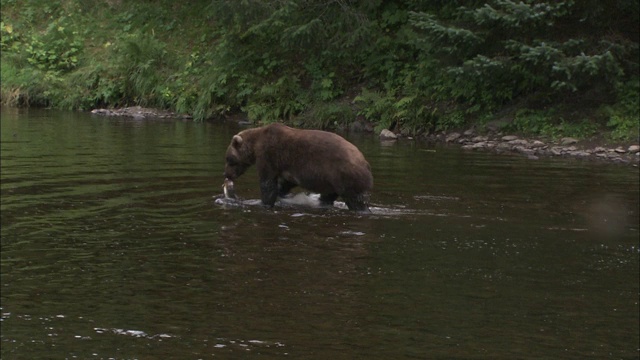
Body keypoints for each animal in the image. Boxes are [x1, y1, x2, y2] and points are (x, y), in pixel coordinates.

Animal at [225, 123, 376, 211]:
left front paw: (264, 202)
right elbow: (285, 182)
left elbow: (267, 182)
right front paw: (281, 192)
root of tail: (366, 164)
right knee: (329, 194)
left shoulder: (269, 156)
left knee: (356, 200)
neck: (255, 144)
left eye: (229, 159)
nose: (226, 174)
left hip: (345, 175)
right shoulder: (287, 168)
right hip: (331, 180)